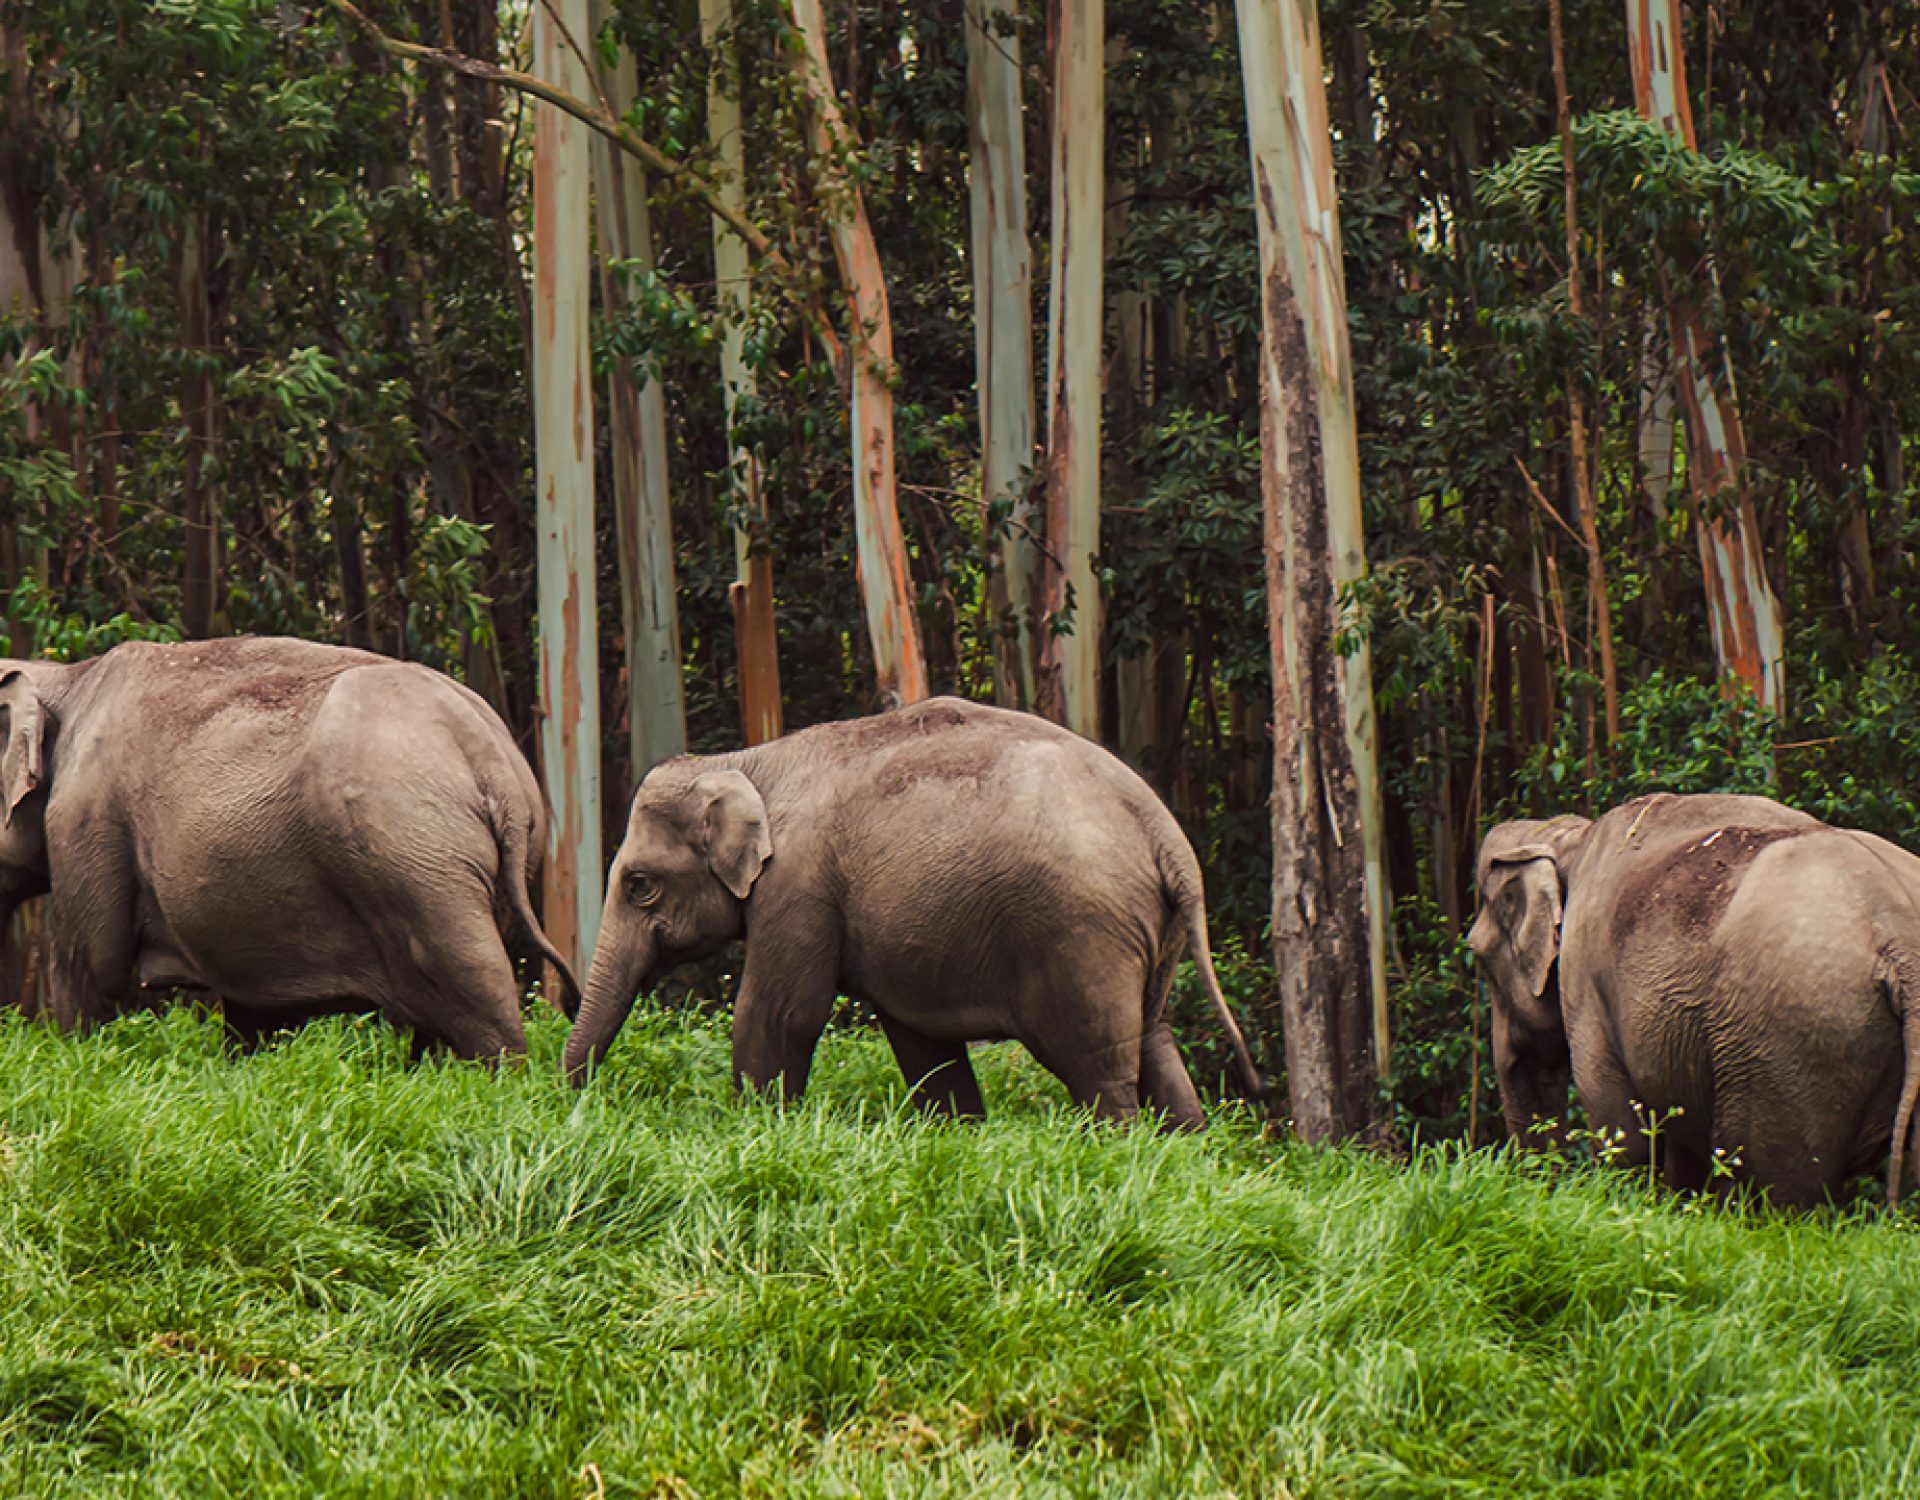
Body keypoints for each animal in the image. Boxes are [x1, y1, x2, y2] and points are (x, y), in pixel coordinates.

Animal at [3, 633, 579, 1052]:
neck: (70, 677)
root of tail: (490, 758)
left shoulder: (85, 819)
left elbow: (89, 972)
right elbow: (253, 1013)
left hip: (418, 858)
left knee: (473, 983)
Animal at [560, 695, 1267, 1121]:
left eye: (640, 885)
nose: (575, 1101)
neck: (747, 761)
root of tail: (1167, 836)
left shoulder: (798, 886)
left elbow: (781, 1014)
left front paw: (758, 1125)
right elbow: (921, 1041)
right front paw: (958, 1131)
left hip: (1083, 935)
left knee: (1098, 1065)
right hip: (1147, 933)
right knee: (1155, 1042)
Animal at [1466, 795, 1920, 1206]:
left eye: (1478, 956)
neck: (1569, 838)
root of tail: (1898, 934)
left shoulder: (1586, 982)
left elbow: (1622, 1133)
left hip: (1791, 1043)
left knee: (1774, 1185)